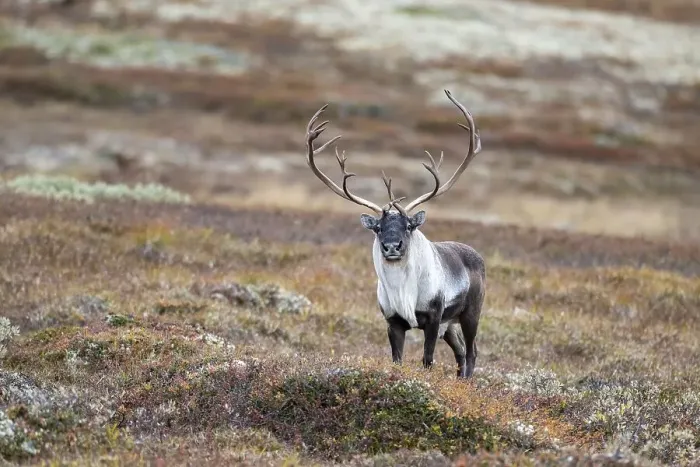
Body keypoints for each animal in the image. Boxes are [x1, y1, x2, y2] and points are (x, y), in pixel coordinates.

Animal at [304, 89, 484, 378]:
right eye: (377, 228)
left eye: (409, 225)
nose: (391, 247)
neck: (403, 291)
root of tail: (476, 255)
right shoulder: (393, 321)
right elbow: (397, 359)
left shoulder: (434, 316)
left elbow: (427, 359)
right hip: (450, 325)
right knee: (460, 351)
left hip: (469, 313)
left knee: (472, 351)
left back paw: (467, 382)